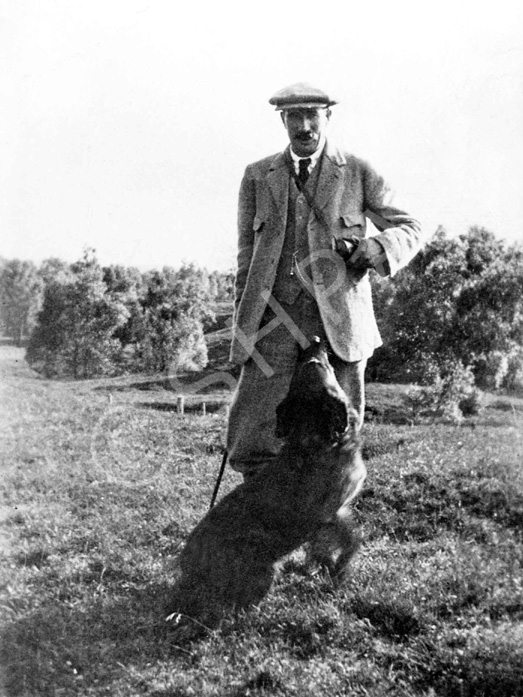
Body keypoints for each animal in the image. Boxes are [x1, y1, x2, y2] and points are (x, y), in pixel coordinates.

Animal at [170, 338, 366, 636]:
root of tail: (190, 574)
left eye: (301, 368)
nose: (315, 340)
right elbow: (351, 541)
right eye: (318, 364)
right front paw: (339, 573)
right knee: (235, 611)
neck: (312, 438)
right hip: (263, 569)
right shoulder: (331, 514)